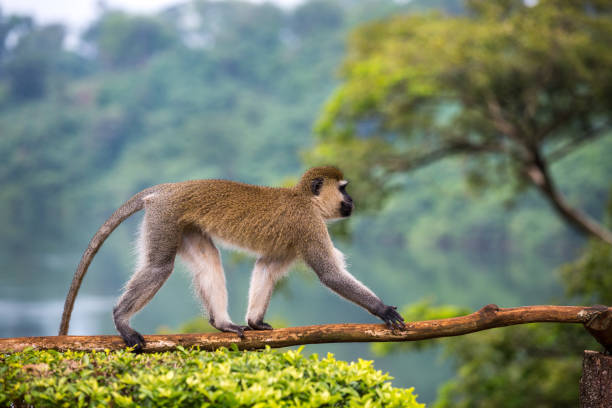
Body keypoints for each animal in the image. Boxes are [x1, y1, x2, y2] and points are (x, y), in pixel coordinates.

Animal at [59, 167, 406, 350]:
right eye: (344, 189)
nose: (352, 200)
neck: (306, 200)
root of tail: (169, 188)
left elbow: (265, 267)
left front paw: (254, 322)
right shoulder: (309, 225)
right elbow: (330, 274)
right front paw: (382, 309)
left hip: (183, 224)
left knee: (208, 259)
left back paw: (222, 324)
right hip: (164, 216)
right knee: (159, 267)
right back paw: (120, 317)